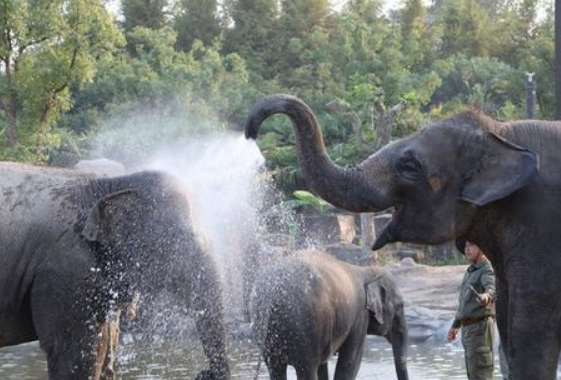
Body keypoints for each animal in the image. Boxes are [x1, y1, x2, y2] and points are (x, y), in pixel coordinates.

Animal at [0, 165, 230, 380]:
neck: (110, 185)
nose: (204, 372)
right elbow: (73, 352)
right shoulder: (68, 269)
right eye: (181, 241)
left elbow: (106, 345)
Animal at [250, 249, 406, 380]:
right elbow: (350, 362)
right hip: (306, 326)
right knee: (307, 369)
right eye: (400, 306)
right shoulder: (360, 316)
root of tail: (273, 291)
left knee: (275, 368)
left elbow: (324, 366)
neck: (366, 270)